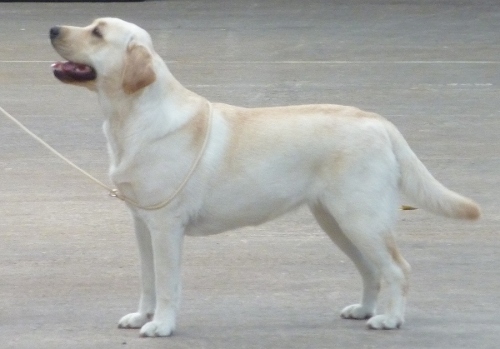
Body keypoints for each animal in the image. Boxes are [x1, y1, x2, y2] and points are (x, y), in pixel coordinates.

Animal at [49, 17, 480, 336]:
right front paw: (142, 316)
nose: (53, 29)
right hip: (338, 222)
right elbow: (147, 279)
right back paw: (364, 309)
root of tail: (379, 121)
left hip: (361, 219)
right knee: (373, 270)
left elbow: (168, 284)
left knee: (397, 269)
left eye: (97, 32)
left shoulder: (166, 226)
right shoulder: (142, 224)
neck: (131, 117)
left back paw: (390, 319)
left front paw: (162, 326)